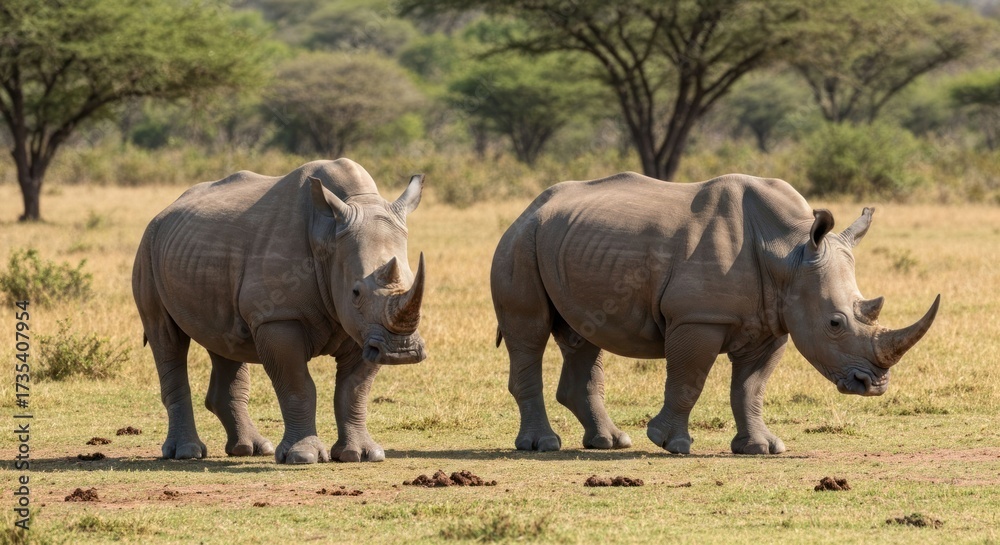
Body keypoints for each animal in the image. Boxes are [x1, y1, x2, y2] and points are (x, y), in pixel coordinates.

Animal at [132, 159, 427, 464]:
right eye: (356, 292)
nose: (401, 352)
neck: (328, 236)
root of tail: (166, 209)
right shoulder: (279, 317)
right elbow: (298, 385)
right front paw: (304, 456)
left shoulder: (366, 330)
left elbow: (354, 390)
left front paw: (360, 454)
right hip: (148, 246)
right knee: (166, 338)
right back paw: (186, 453)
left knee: (224, 341)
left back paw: (251, 449)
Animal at [491, 172, 939, 455]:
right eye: (835, 323)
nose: (875, 385)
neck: (788, 252)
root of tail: (528, 209)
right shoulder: (698, 317)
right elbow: (689, 380)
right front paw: (670, 444)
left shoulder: (774, 321)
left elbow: (751, 388)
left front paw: (761, 448)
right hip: (520, 242)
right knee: (529, 333)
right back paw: (543, 445)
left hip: (567, 243)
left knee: (584, 336)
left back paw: (610, 442)